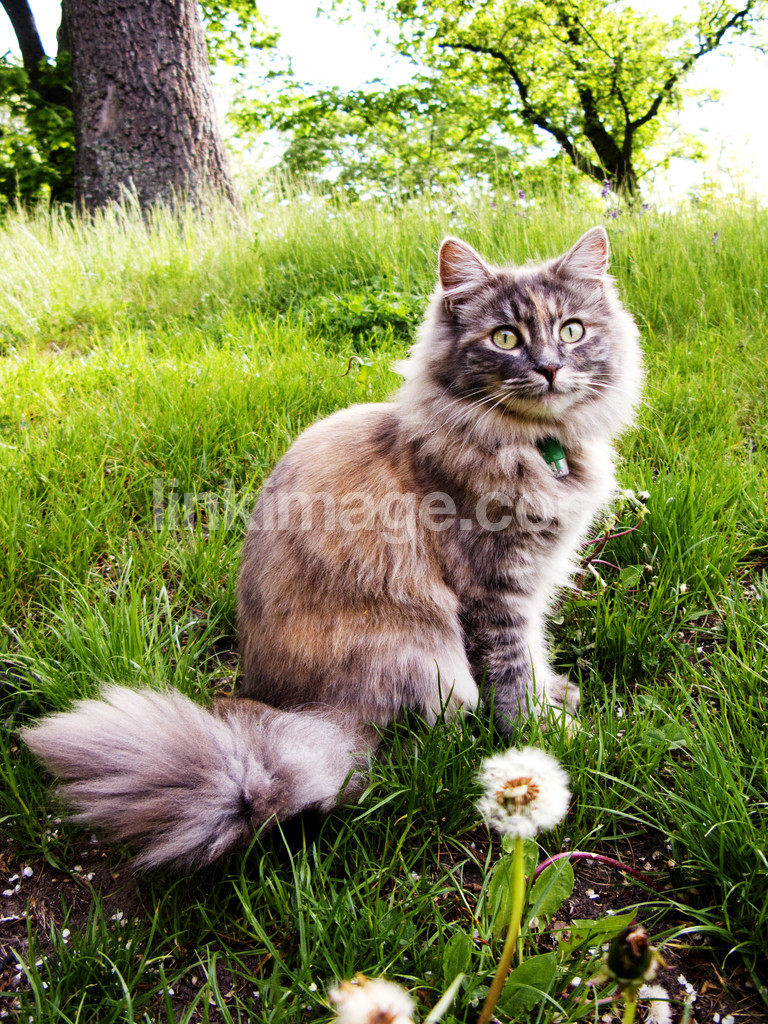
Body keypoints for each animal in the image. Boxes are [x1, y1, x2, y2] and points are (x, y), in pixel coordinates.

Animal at [22, 225, 642, 871]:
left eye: (571, 330)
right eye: (506, 338)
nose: (548, 367)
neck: (533, 445)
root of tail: (309, 718)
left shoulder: (534, 582)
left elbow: (536, 655)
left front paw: (556, 700)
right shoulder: (493, 589)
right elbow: (513, 670)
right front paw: (547, 737)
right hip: (427, 656)